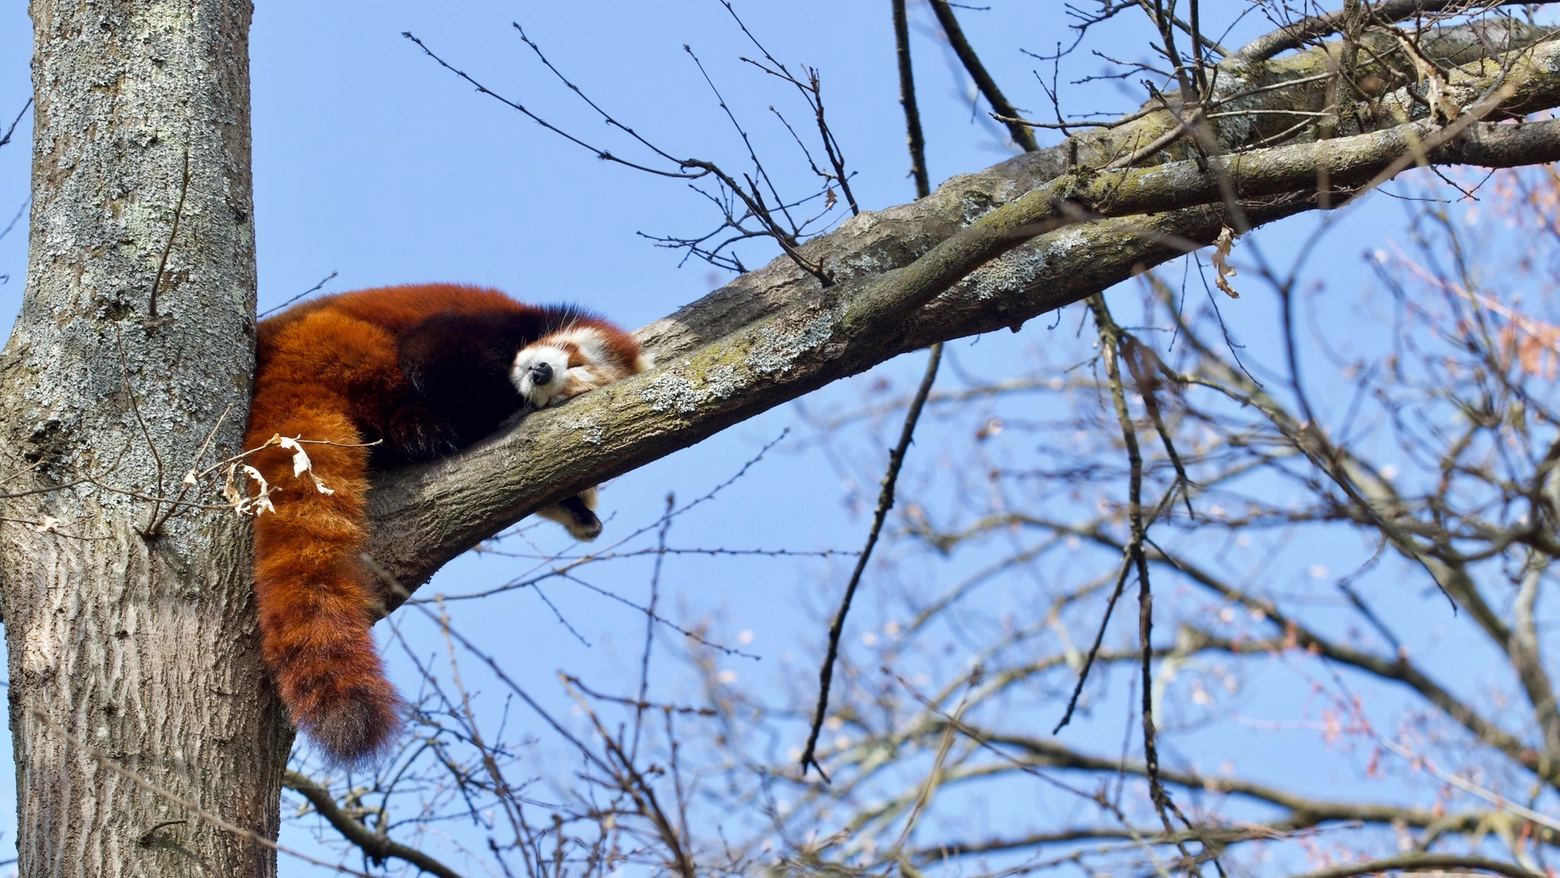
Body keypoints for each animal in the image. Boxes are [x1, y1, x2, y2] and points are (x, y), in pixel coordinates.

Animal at [246, 285, 648, 767]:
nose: (540, 372)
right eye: (574, 360)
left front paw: (579, 509)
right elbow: (431, 355)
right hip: (339, 342)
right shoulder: (488, 323)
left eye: (570, 386)